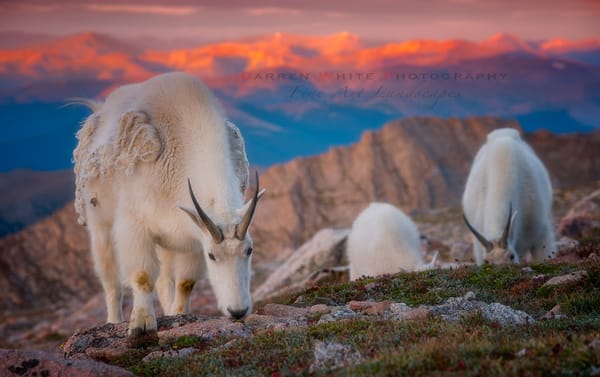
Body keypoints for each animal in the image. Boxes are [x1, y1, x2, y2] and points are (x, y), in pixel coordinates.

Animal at [72, 72, 264, 336]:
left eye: (249, 250)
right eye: (212, 256)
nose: (237, 311)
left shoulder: (192, 235)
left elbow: (185, 282)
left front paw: (179, 315)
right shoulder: (135, 225)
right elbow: (142, 276)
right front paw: (141, 324)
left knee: (164, 281)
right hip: (100, 225)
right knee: (111, 282)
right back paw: (113, 321)